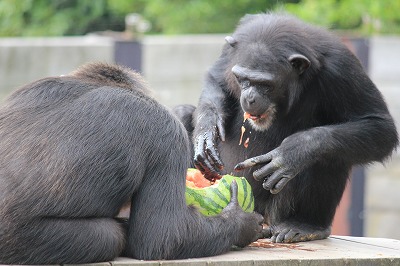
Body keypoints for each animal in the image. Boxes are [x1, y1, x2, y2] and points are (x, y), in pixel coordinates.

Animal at [177, 14, 398, 243]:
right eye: (242, 79)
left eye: (265, 84)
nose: (249, 97)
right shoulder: (230, 53)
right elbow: (217, 78)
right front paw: (207, 129)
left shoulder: (342, 69)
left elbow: (378, 124)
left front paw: (293, 151)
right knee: (183, 112)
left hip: (276, 213)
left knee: (330, 152)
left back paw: (306, 225)